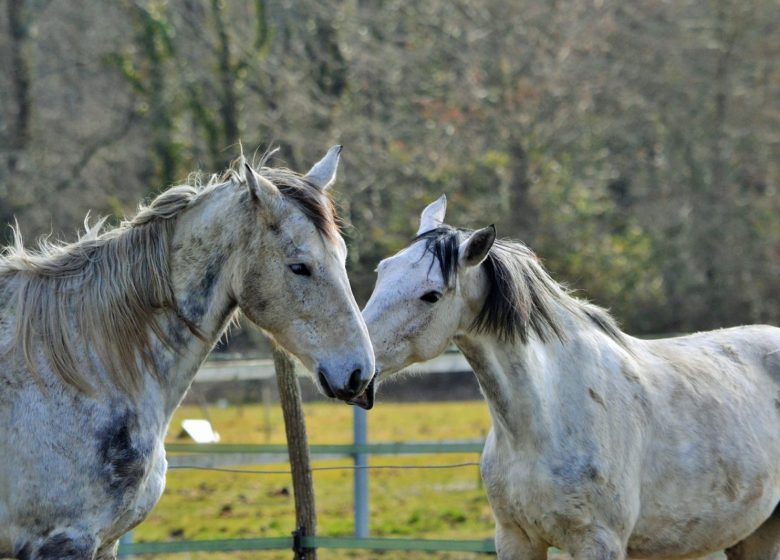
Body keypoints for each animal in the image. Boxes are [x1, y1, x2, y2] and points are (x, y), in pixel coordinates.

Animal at [0, 147, 374, 556]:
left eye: (342, 256)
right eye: (299, 267)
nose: (361, 374)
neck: (84, 368)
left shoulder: (105, 542)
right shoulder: (63, 540)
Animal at [362, 194, 780, 560]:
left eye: (431, 295)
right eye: (382, 272)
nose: (356, 371)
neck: (549, 414)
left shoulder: (597, 542)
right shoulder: (515, 539)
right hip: (754, 535)